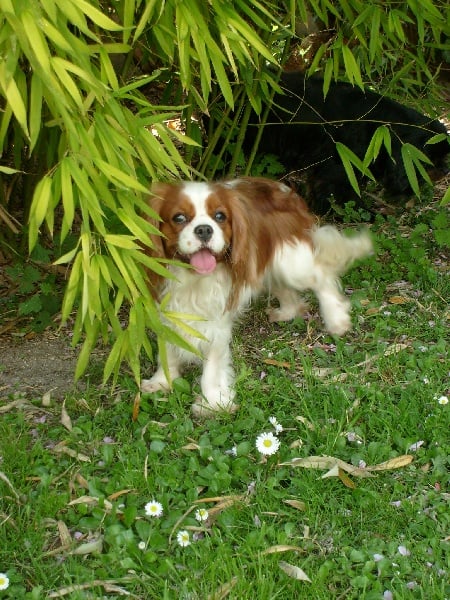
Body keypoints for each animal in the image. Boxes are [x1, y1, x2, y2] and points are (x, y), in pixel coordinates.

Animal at [141, 177, 373, 417]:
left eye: (220, 216)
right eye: (179, 218)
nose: (204, 230)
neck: (192, 280)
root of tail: (283, 189)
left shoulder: (217, 323)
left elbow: (212, 367)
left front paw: (212, 403)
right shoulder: (166, 313)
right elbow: (167, 351)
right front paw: (161, 381)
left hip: (292, 263)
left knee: (322, 277)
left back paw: (337, 320)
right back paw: (287, 313)